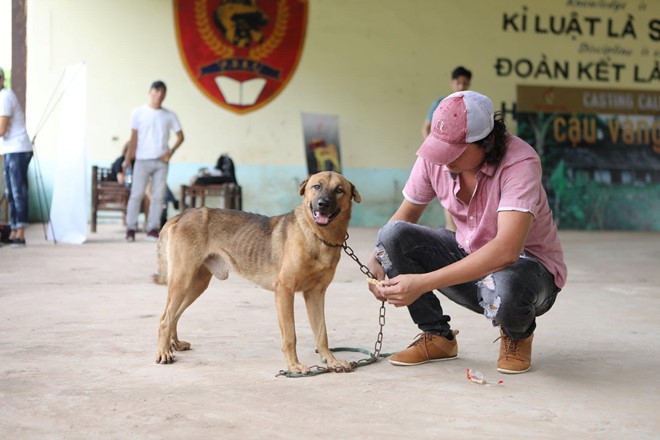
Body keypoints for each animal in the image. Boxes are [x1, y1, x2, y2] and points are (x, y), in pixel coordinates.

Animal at [155, 170, 360, 372]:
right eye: (316, 186)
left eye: (339, 190)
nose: (322, 204)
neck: (317, 237)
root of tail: (183, 214)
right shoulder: (284, 290)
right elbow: (290, 335)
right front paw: (293, 365)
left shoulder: (315, 294)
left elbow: (321, 334)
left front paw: (331, 361)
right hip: (182, 281)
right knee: (165, 319)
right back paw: (163, 352)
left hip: (196, 285)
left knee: (173, 315)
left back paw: (175, 344)